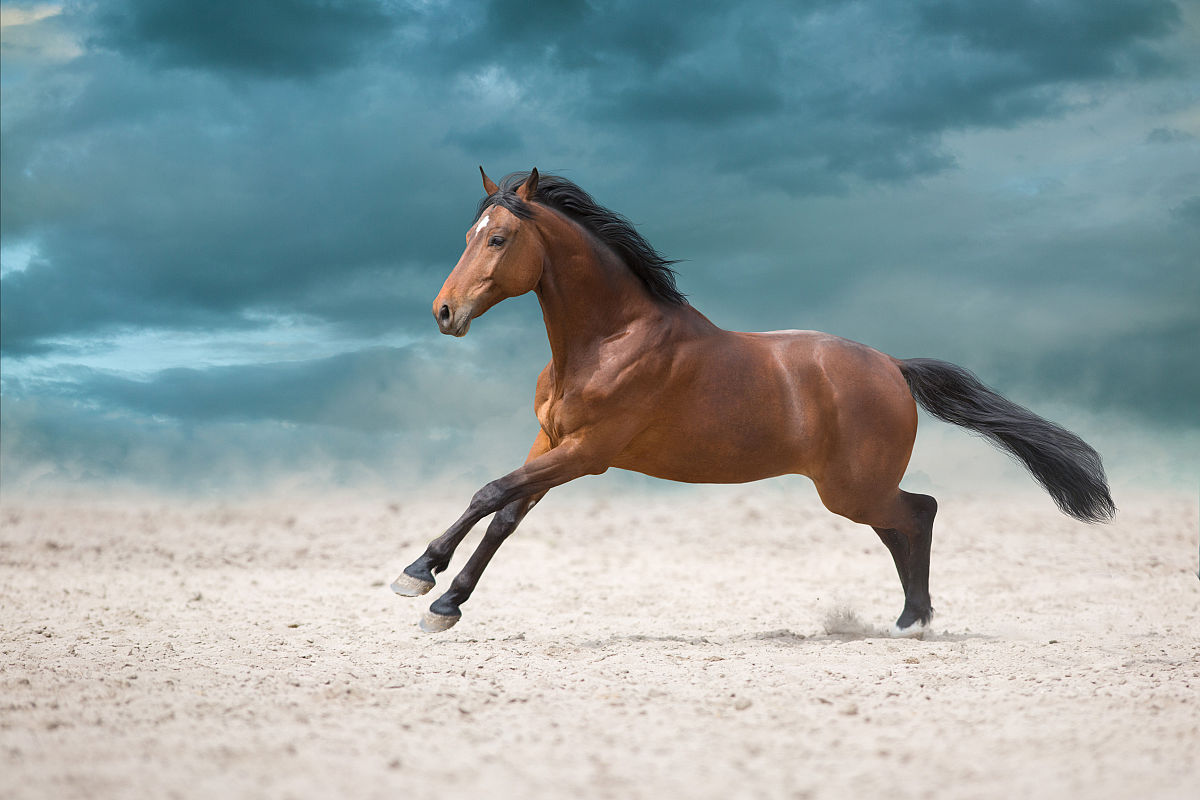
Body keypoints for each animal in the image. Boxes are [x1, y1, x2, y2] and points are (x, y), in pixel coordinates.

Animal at [391, 167, 1115, 637]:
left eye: (498, 239)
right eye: (468, 234)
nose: (444, 313)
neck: (608, 340)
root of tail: (892, 367)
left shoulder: (587, 453)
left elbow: (490, 493)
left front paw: (421, 577)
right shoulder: (551, 444)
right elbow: (505, 517)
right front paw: (443, 598)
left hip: (851, 488)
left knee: (920, 512)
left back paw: (914, 621)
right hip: (854, 489)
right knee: (904, 524)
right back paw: (910, 617)